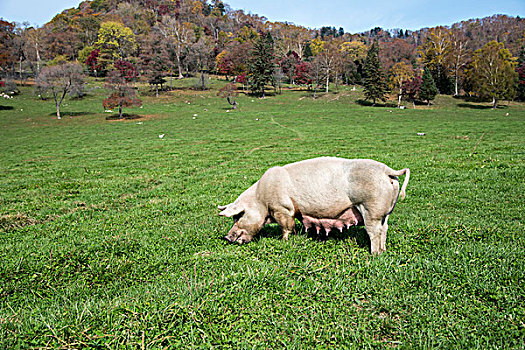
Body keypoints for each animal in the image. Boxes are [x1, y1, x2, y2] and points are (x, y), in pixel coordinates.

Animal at [217, 157, 410, 253]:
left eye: (238, 216)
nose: (226, 237)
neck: (260, 199)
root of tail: (387, 171)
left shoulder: (283, 209)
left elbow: (287, 227)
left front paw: (284, 241)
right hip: (386, 212)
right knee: (385, 229)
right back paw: (383, 251)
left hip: (371, 208)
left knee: (374, 231)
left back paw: (374, 254)